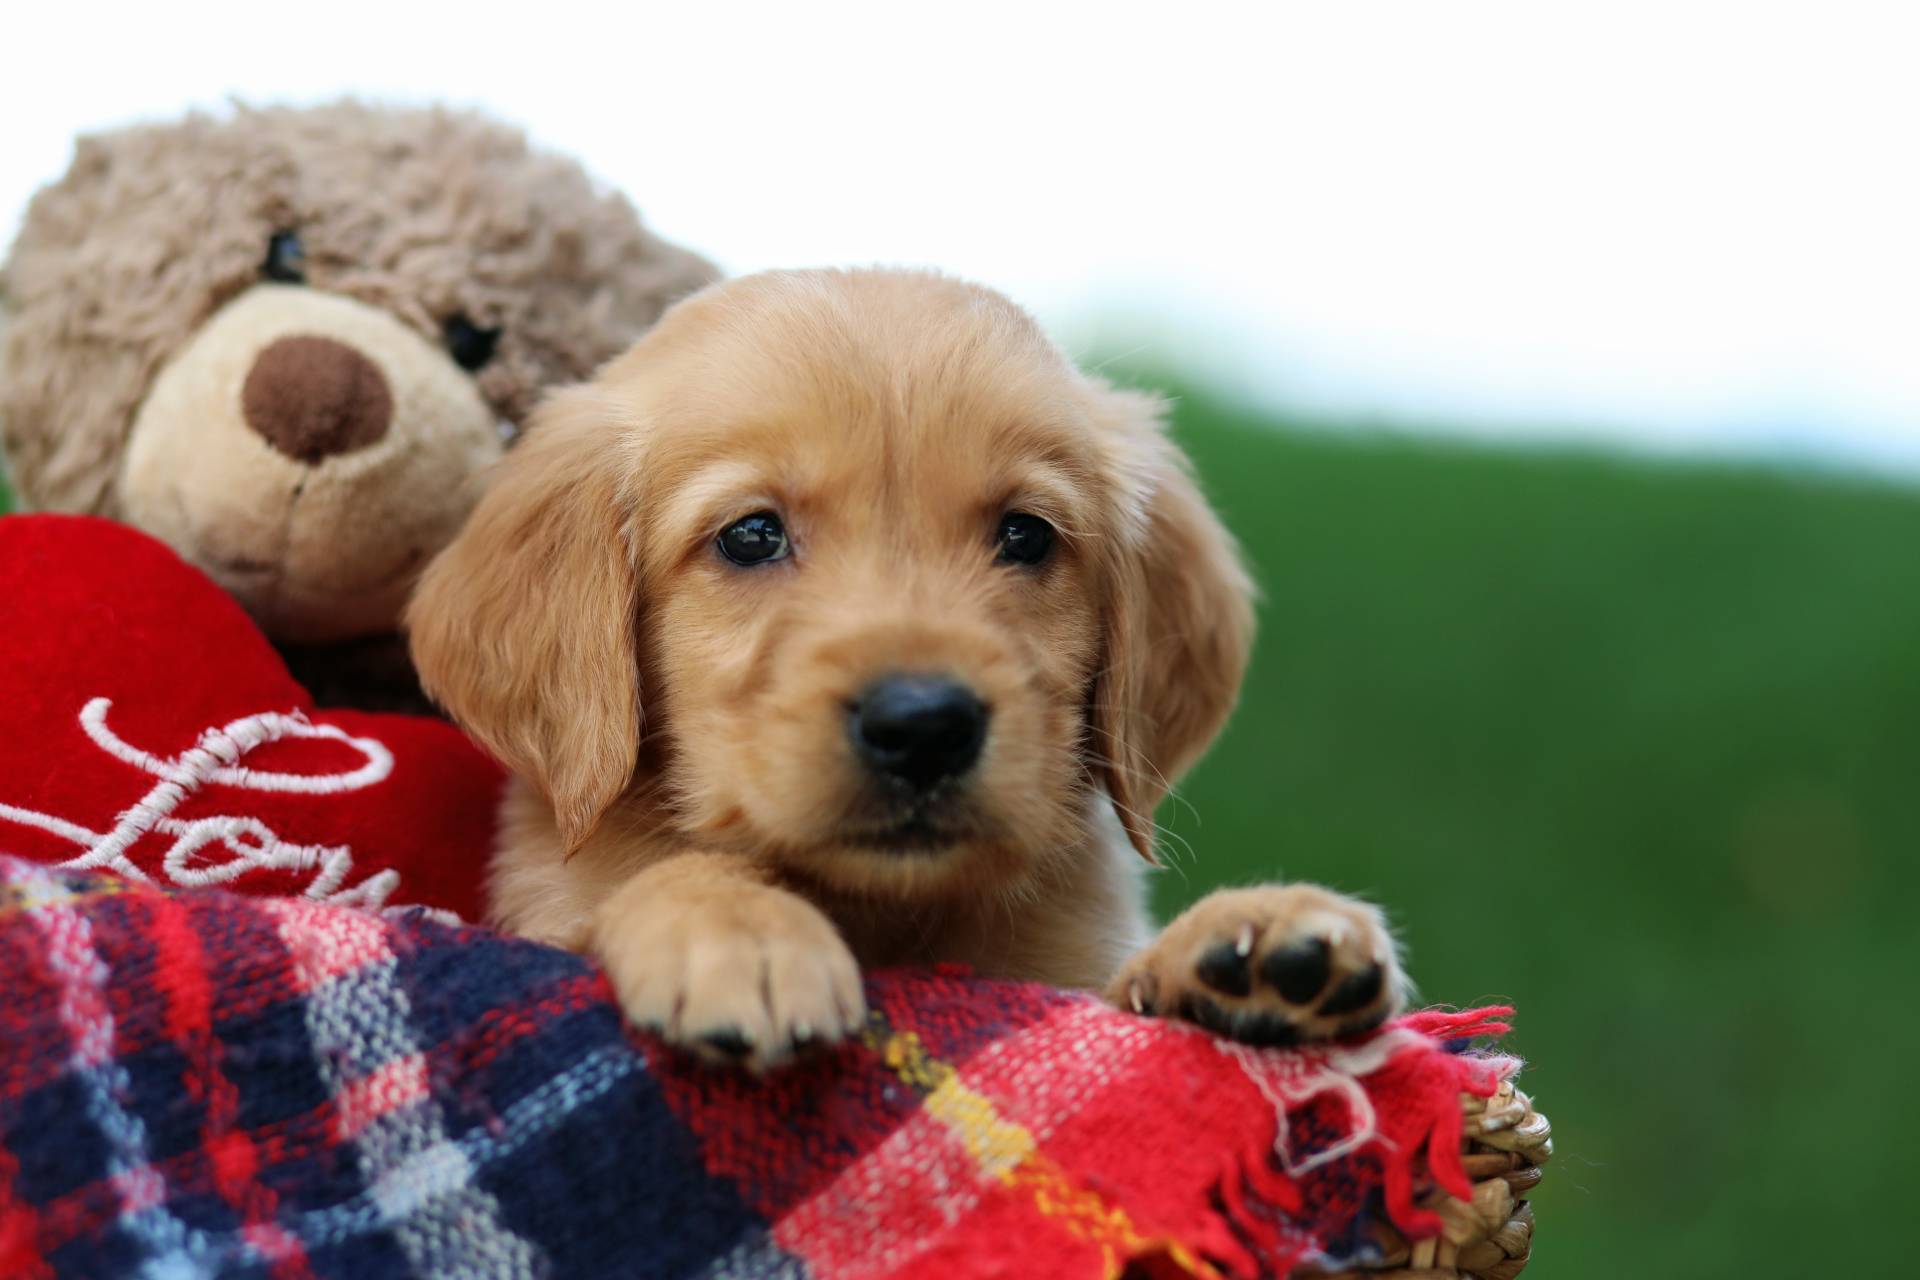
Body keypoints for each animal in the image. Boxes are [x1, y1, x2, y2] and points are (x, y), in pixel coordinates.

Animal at [405, 270, 1405, 1074]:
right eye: (751, 535)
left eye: (1026, 535)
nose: (924, 726)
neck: (885, 914)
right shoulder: (547, 908)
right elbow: (652, 880)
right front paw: (736, 926)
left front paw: (1247, 945)